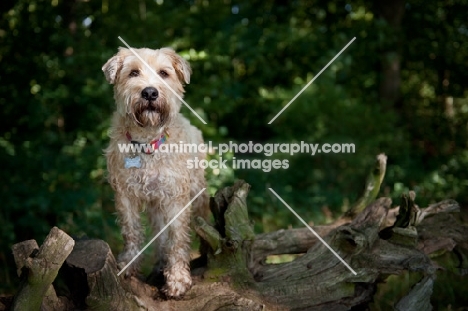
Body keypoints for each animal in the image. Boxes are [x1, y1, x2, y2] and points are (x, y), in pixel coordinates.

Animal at [102, 47, 208, 298]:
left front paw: (178, 279)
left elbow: (177, 239)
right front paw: (129, 264)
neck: (147, 142)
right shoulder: (125, 196)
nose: (150, 92)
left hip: (197, 193)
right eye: (133, 73)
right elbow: (131, 230)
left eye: (164, 73)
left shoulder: (176, 199)